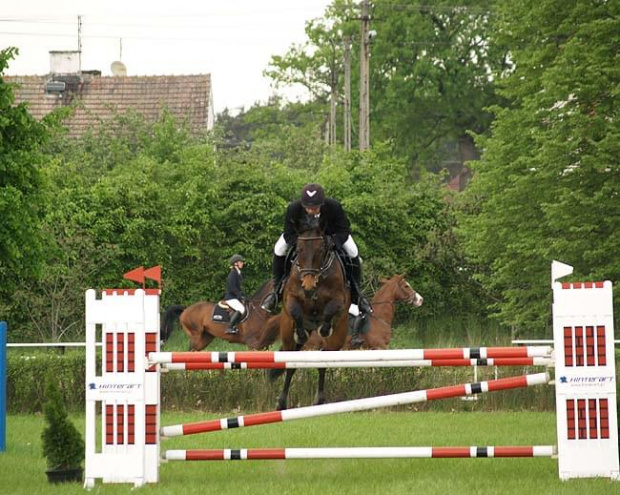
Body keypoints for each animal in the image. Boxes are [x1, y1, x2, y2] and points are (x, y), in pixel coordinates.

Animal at [274, 225, 352, 410]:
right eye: (299, 249)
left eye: (320, 250)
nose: (308, 287)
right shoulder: (292, 297)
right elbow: (295, 310)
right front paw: (301, 333)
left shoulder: (340, 299)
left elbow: (331, 309)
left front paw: (324, 328)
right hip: (287, 333)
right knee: (291, 364)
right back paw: (281, 403)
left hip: (338, 338)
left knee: (323, 361)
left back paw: (320, 400)